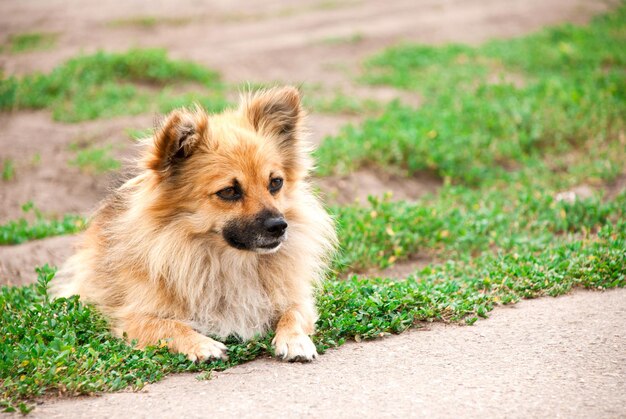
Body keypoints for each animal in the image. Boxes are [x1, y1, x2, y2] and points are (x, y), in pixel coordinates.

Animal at [52, 87, 336, 362]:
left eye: (275, 183)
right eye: (229, 191)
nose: (279, 225)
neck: (229, 262)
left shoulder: (298, 299)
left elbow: (293, 313)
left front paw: (294, 339)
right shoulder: (132, 318)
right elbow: (167, 325)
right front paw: (201, 344)